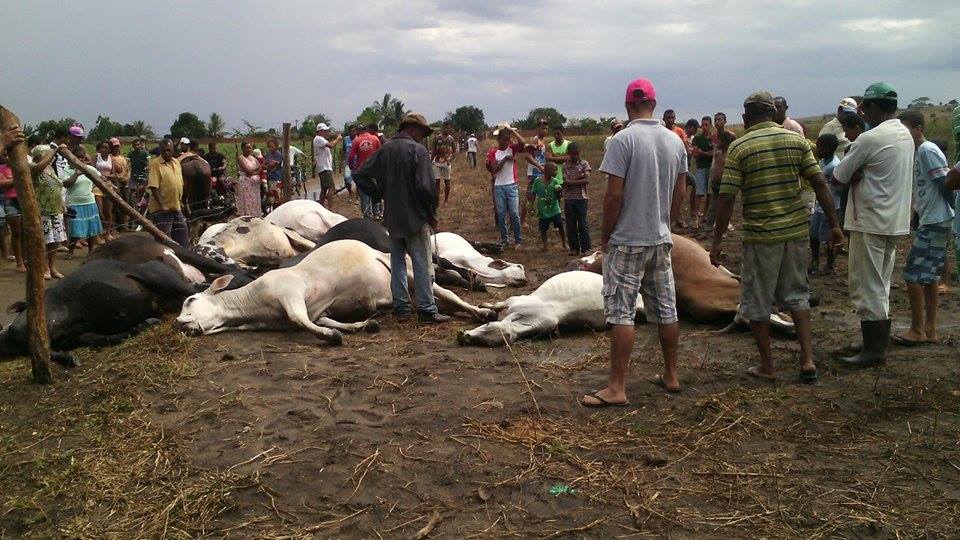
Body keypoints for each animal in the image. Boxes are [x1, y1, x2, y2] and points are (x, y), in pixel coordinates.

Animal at [175, 238, 498, 344]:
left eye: (190, 299)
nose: (178, 323)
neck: (251, 307)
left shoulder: (290, 292)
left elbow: (300, 319)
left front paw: (332, 336)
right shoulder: (319, 311)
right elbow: (324, 321)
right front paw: (364, 325)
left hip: (407, 272)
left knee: (447, 294)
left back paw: (483, 311)